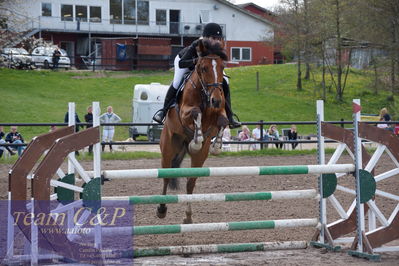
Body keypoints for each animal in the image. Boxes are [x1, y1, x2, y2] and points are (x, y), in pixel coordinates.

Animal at [158, 38, 230, 223]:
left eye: (222, 67)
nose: (216, 100)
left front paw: (216, 146)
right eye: (203, 68)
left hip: (199, 158)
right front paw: (196, 141)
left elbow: (223, 121)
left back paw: (188, 217)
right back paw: (161, 209)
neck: (205, 93)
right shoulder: (184, 113)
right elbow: (196, 113)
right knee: (166, 176)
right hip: (168, 148)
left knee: (191, 182)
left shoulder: (219, 112)